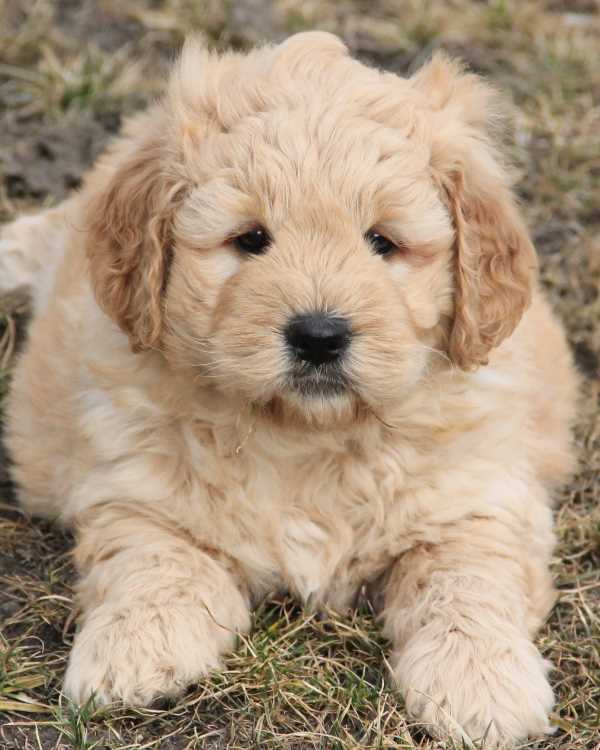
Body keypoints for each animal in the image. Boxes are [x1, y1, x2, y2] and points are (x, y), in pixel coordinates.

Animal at [1, 32, 580, 748]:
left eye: (382, 242)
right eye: (251, 239)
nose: (319, 335)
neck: (308, 436)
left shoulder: (478, 498)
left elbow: (469, 578)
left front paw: (480, 682)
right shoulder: (133, 485)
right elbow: (154, 560)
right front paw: (135, 649)